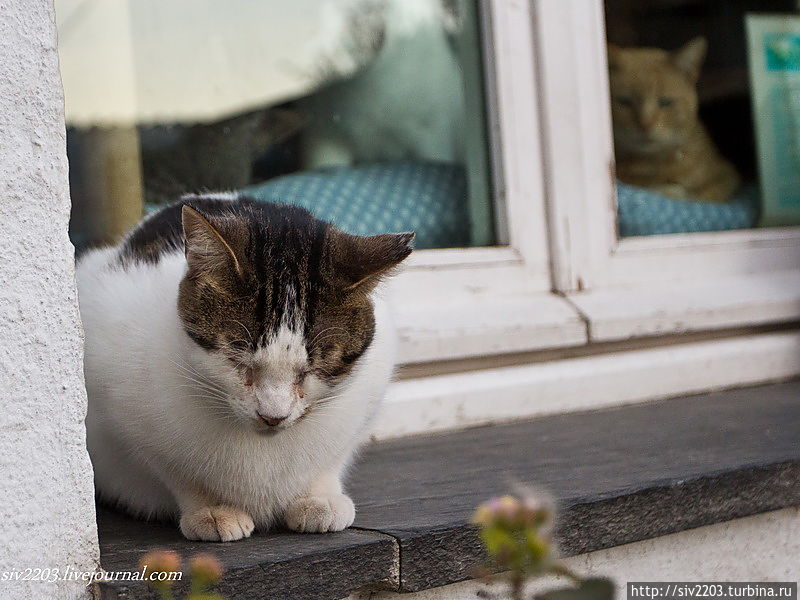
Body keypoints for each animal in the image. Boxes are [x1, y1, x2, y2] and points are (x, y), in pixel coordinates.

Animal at [76, 195, 412, 540]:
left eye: (314, 367)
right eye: (237, 357)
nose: (272, 417)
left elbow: (332, 458)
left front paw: (319, 497)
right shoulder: (121, 398)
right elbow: (175, 470)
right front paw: (212, 509)